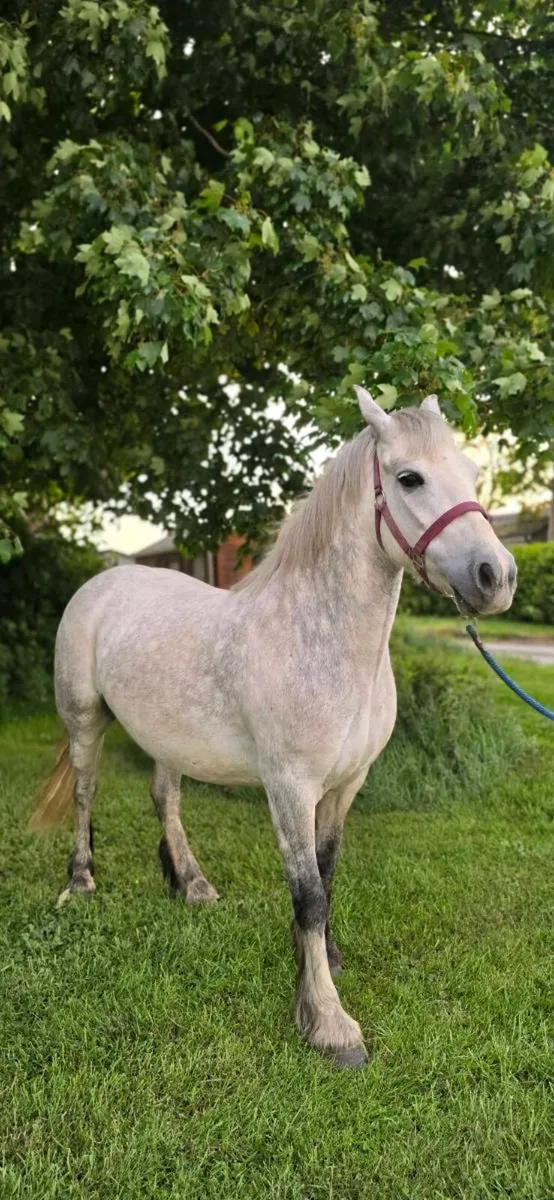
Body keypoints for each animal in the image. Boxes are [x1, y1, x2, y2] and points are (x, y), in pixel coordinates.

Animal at [30, 389, 516, 1067]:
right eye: (408, 478)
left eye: (471, 473)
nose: (496, 577)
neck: (322, 641)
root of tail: (105, 580)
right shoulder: (289, 788)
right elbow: (307, 892)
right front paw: (329, 1023)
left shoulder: (346, 786)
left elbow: (327, 875)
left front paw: (323, 962)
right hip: (83, 721)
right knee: (84, 793)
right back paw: (80, 881)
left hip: (166, 737)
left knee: (165, 798)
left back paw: (192, 884)